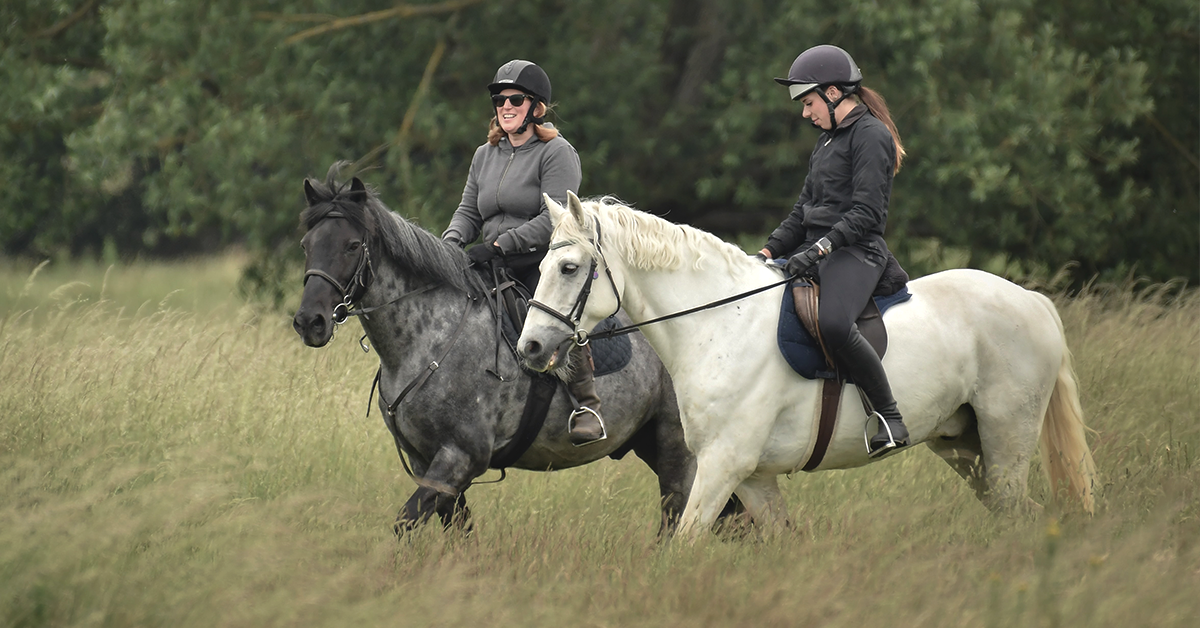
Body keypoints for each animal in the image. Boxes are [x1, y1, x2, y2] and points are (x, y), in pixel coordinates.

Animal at [291, 166, 720, 535]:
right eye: (306, 244)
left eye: (352, 245)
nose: (310, 322)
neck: (429, 340)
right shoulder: (427, 460)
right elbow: (457, 531)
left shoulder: (459, 457)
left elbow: (405, 523)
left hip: (677, 451)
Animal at [516, 192, 1099, 535]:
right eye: (540, 265)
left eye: (569, 268)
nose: (531, 349)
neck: (719, 325)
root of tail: (1033, 300)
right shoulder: (752, 477)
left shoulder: (722, 466)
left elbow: (686, 541)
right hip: (964, 445)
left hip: (1006, 439)